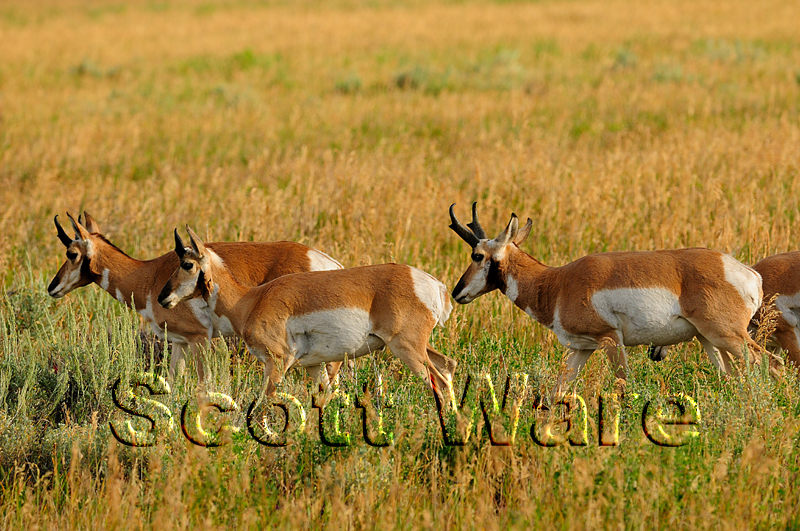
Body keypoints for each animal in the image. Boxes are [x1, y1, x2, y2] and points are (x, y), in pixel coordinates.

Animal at [48, 212, 344, 380]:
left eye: (71, 253)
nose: (52, 287)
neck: (149, 274)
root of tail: (327, 262)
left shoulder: (199, 339)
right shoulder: (179, 341)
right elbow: (171, 382)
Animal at [157, 226, 457, 403]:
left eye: (186, 264)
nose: (162, 298)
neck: (251, 300)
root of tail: (433, 284)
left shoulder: (277, 363)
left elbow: (262, 405)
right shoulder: (313, 366)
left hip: (406, 348)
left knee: (439, 384)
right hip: (418, 347)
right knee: (448, 366)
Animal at [448, 203, 783, 392]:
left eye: (477, 255)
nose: (456, 293)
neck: (557, 282)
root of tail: (748, 273)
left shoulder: (610, 340)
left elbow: (622, 387)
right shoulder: (581, 349)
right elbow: (557, 392)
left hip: (726, 335)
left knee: (771, 362)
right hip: (709, 340)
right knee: (736, 377)